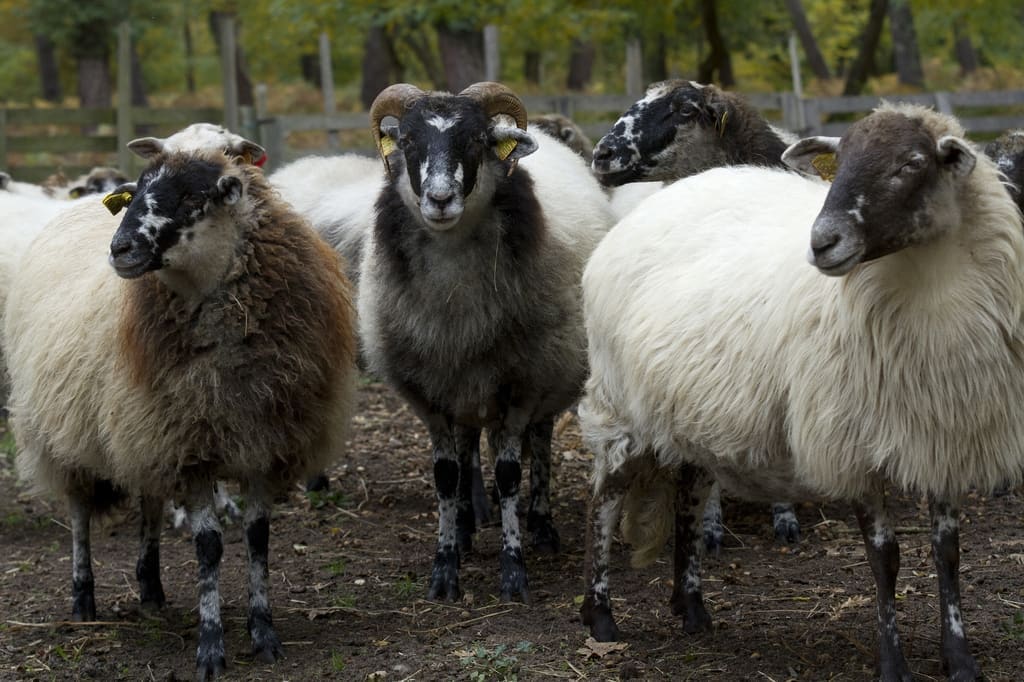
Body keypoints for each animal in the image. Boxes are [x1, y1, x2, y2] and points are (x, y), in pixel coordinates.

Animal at [5, 149, 357, 679]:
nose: (120, 249)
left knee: (149, 502)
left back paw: (150, 588)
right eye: (133, 196)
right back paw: (83, 598)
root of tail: (77, 206)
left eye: (193, 197)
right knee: (80, 513)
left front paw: (264, 635)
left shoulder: (260, 443)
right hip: (65, 432)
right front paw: (211, 648)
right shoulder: (190, 450)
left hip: (140, 428)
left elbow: (258, 538)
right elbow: (208, 546)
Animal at [359, 81, 612, 602]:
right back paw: (467, 525)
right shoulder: (430, 391)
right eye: (407, 141)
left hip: (547, 371)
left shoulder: (520, 384)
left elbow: (511, 473)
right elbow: (446, 475)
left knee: (540, 443)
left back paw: (541, 525)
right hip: (466, 386)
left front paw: (514, 570)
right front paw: (445, 566)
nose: (439, 199)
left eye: (477, 140)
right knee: (468, 446)